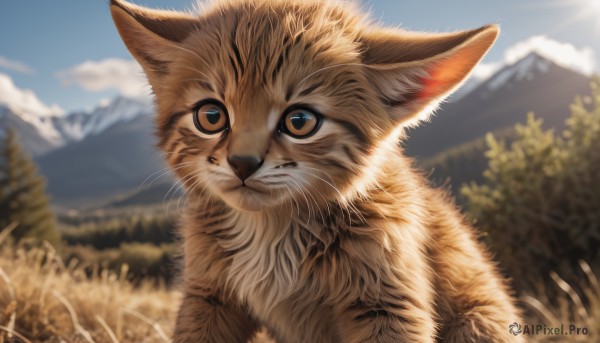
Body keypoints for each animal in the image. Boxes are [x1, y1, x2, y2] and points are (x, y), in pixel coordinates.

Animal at [110, 0, 524, 342]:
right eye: (211, 116)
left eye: (300, 121)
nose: (243, 163)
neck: (271, 234)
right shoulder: (208, 297)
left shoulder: (388, 304)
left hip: (477, 322)